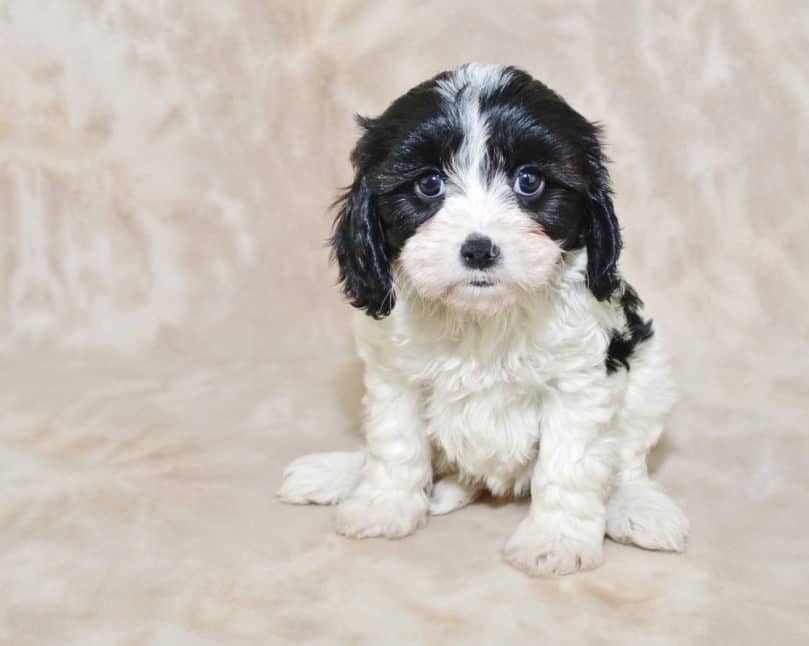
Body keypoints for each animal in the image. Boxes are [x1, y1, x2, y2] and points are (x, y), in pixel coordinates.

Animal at [280, 62, 688, 576]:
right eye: (429, 183)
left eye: (529, 181)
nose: (478, 249)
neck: (483, 317)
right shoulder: (395, 377)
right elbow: (394, 443)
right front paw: (383, 505)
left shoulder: (579, 384)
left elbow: (568, 465)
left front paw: (554, 540)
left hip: (649, 377)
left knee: (629, 458)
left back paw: (636, 505)